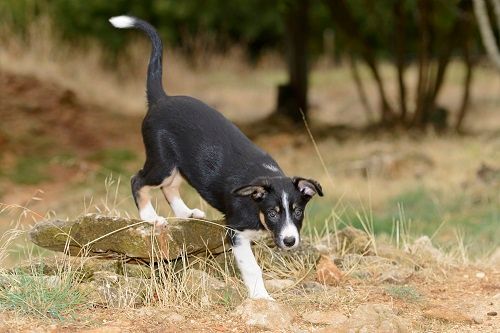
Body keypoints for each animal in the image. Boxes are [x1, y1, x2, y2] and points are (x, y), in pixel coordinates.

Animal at [108, 14, 324, 298]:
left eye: (298, 211)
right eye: (273, 213)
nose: (290, 241)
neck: (256, 202)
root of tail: (161, 99)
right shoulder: (236, 232)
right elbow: (252, 268)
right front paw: (261, 297)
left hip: (181, 165)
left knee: (170, 187)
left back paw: (186, 212)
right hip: (162, 162)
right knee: (139, 180)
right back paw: (150, 216)